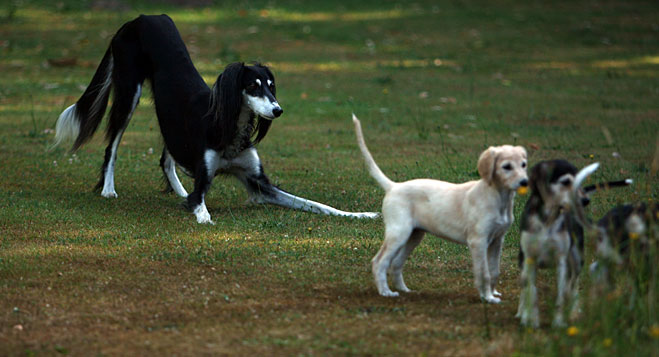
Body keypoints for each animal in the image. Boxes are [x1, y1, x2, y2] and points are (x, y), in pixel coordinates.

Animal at [52, 16, 376, 222]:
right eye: (252, 87)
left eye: (271, 87)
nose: (277, 111)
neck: (231, 129)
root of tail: (138, 19)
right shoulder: (205, 179)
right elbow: (200, 204)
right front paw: (201, 213)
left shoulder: (259, 183)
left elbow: (315, 204)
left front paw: (357, 214)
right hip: (129, 92)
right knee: (113, 145)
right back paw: (108, 189)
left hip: (167, 114)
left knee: (166, 157)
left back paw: (177, 189)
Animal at [354, 114, 528, 304]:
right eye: (507, 167)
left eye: (524, 165)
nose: (525, 182)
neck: (497, 196)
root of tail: (394, 186)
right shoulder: (478, 241)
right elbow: (484, 273)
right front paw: (487, 298)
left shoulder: (497, 240)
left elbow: (495, 270)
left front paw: (493, 293)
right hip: (399, 232)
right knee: (379, 261)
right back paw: (385, 292)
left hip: (414, 235)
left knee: (396, 263)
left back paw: (404, 290)